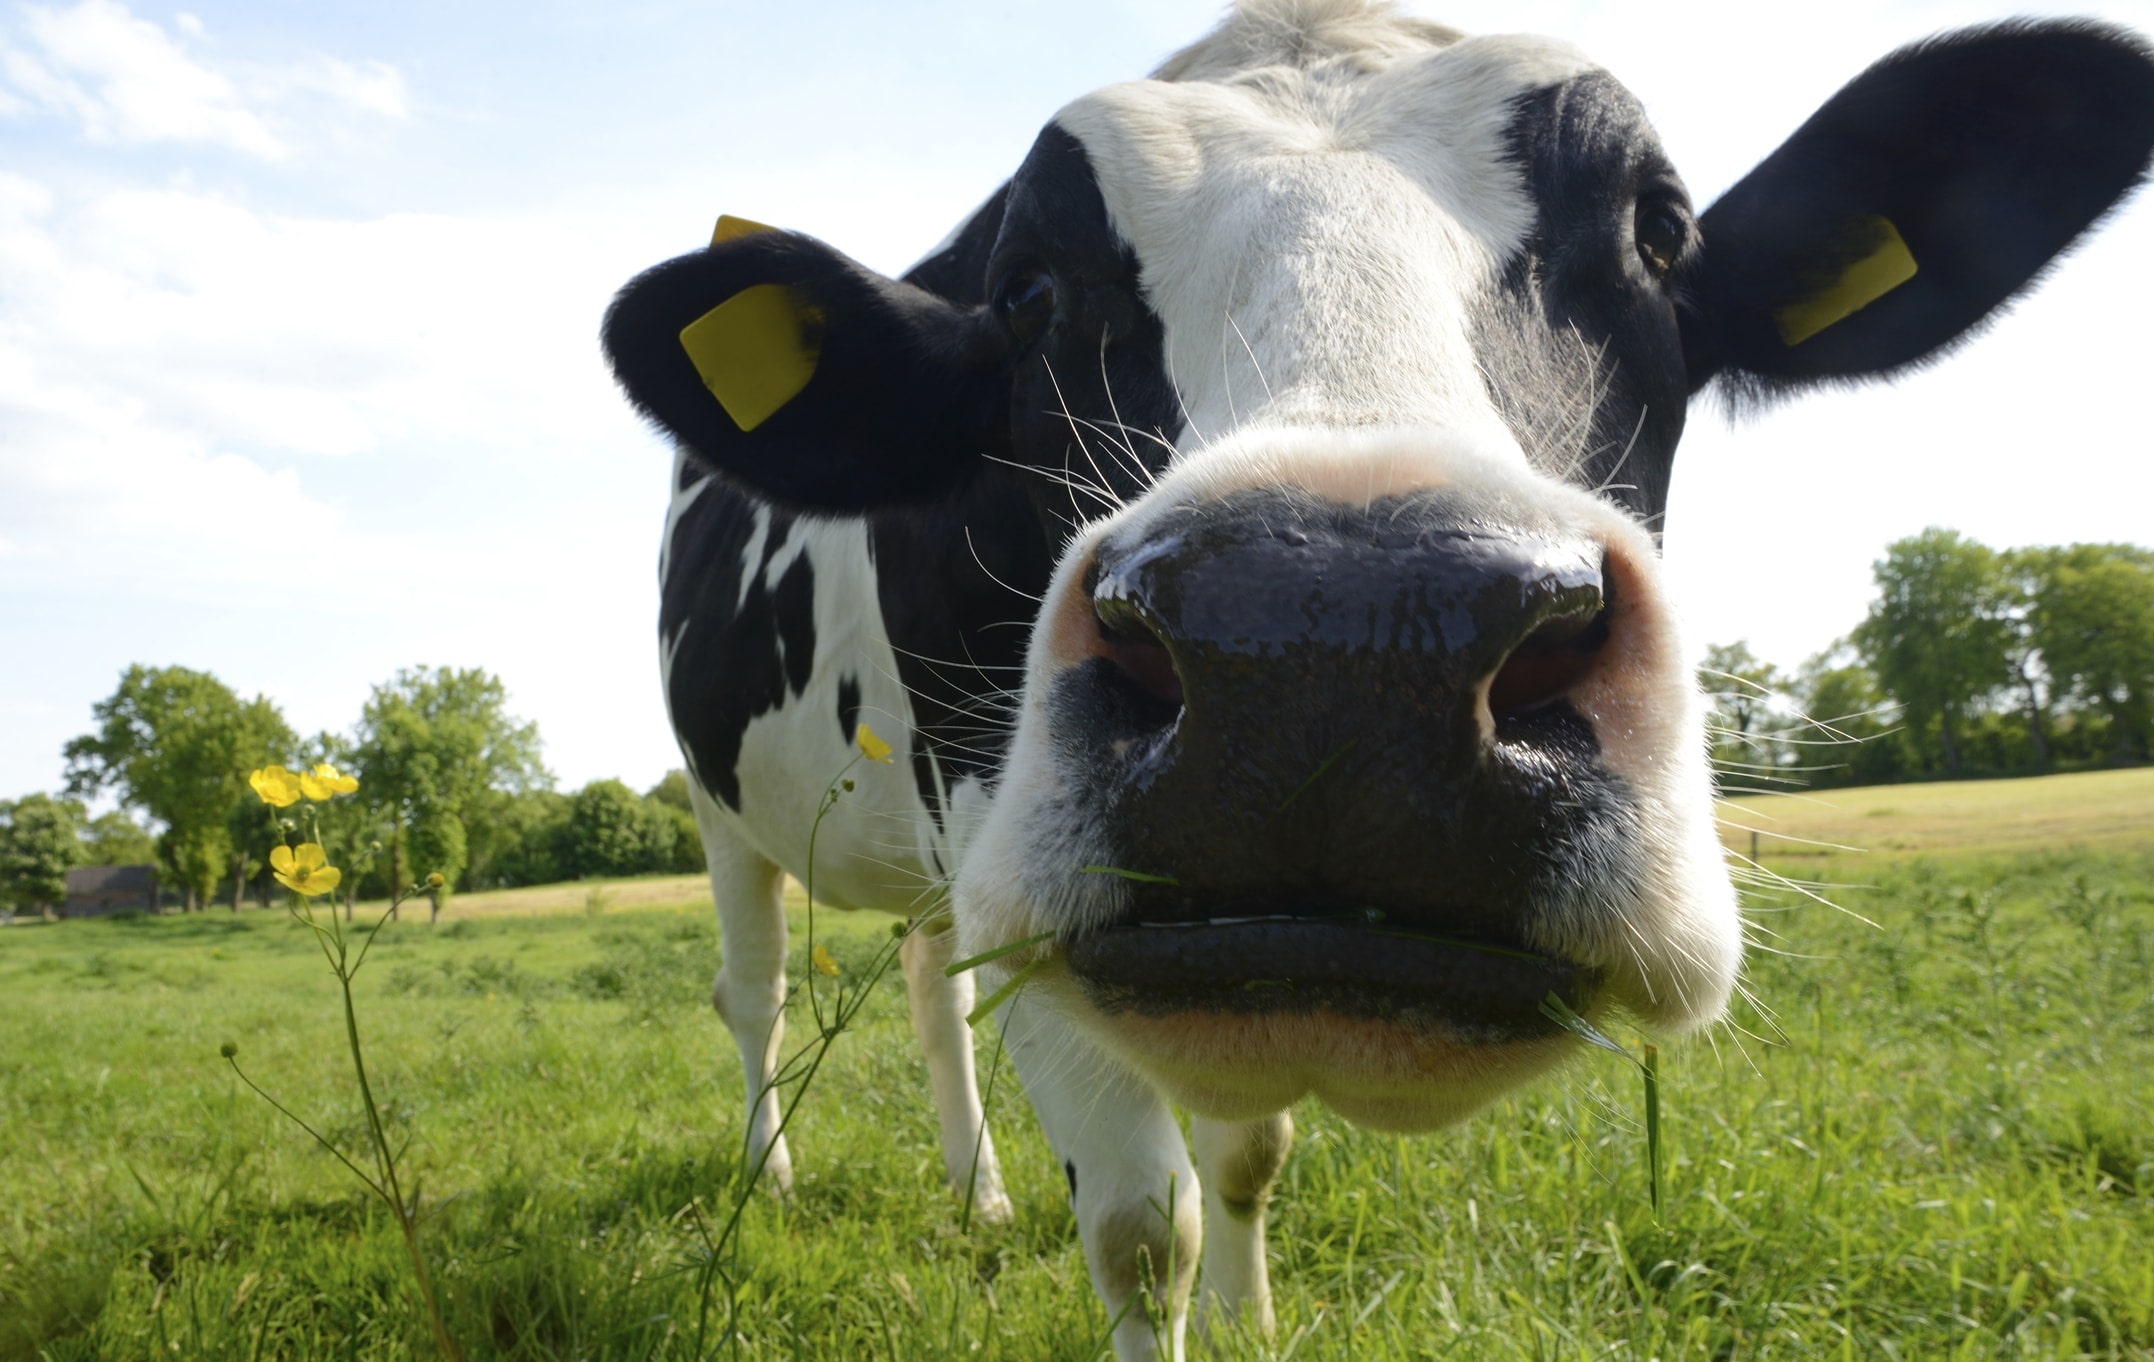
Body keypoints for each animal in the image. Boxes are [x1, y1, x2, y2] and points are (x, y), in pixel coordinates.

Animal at [602, 3, 2154, 1357]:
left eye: (1658, 231)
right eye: (1026, 288)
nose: (1334, 641)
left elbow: (1245, 1156)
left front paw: (1251, 1319)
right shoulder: (1006, 850)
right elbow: (1140, 1229)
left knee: (931, 991)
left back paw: (974, 1194)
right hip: (723, 808)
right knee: (759, 995)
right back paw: (772, 1175)